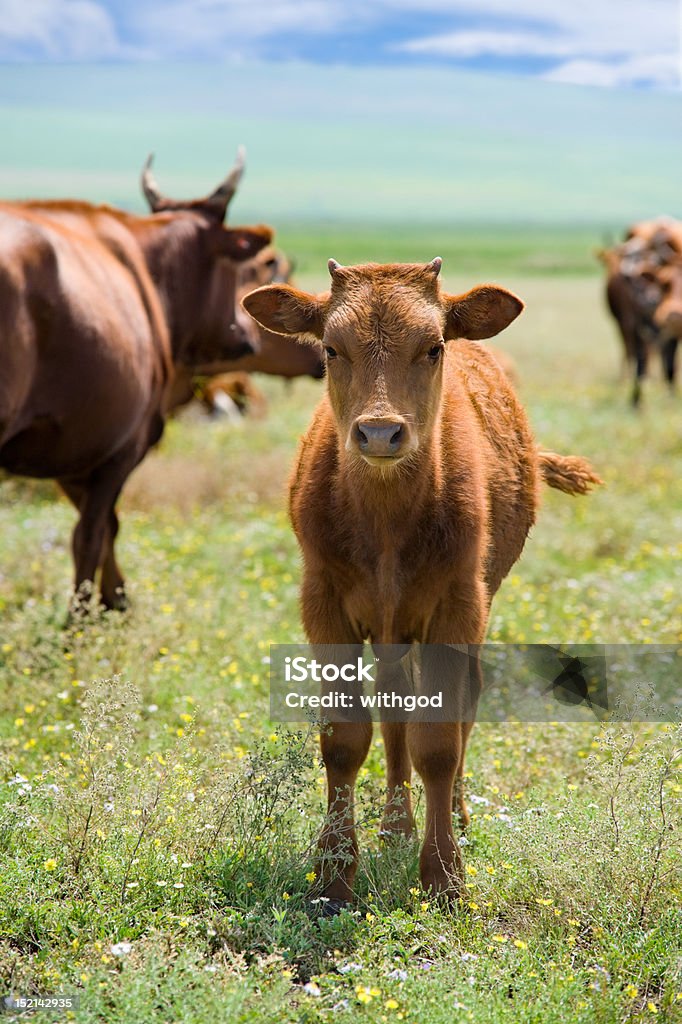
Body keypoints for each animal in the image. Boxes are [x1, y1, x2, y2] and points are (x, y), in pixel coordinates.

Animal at [0, 147, 270, 602]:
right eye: (236, 269)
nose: (247, 334)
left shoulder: (74, 454)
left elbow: (106, 530)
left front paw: (116, 598)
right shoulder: (124, 447)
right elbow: (92, 536)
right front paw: (90, 611)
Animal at [245, 256, 602, 905]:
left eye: (433, 347)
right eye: (331, 348)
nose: (380, 433)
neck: (386, 521)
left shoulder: (456, 607)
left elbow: (437, 739)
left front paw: (443, 876)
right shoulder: (324, 606)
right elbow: (345, 737)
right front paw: (334, 876)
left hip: (476, 605)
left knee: (463, 704)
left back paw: (454, 815)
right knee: (394, 706)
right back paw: (395, 825)